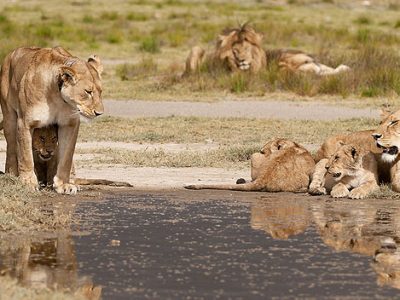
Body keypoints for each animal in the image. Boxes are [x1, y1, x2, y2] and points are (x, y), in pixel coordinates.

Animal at [0, 45, 103, 193]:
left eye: (100, 92)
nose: (99, 113)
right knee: (12, 148)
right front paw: (28, 183)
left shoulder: (69, 124)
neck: (57, 97)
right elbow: (26, 156)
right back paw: (12, 175)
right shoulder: (25, 122)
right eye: (88, 92)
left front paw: (63, 185)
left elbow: (66, 157)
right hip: (9, 118)